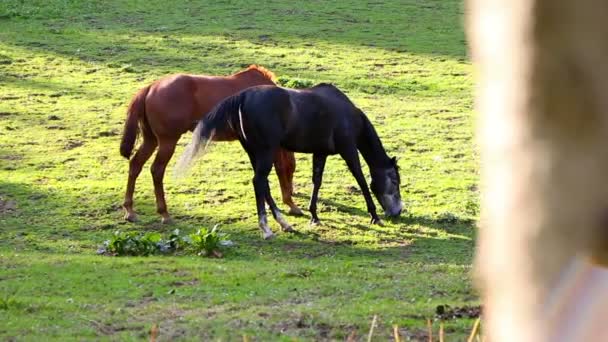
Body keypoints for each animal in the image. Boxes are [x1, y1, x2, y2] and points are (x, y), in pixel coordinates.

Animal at [117, 65, 302, 223]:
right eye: (293, 170)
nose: (293, 192)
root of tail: (151, 87)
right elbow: (278, 168)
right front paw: (290, 203)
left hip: (151, 140)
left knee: (135, 165)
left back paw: (130, 210)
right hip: (167, 142)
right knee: (157, 170)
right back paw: (164, 213)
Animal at [176, 83, 404, 239]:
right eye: (394, 181)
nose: (398, 211)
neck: (349, 115)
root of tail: (243, 96)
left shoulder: (320, 153)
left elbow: (316, 181)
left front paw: (314, 216)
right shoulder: (348, 150)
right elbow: (361, 180)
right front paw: (374, 215)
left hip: (254, 152)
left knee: (263, 184)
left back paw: (284, 223)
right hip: (266, 152)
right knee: (259, 182)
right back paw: (267, 228)